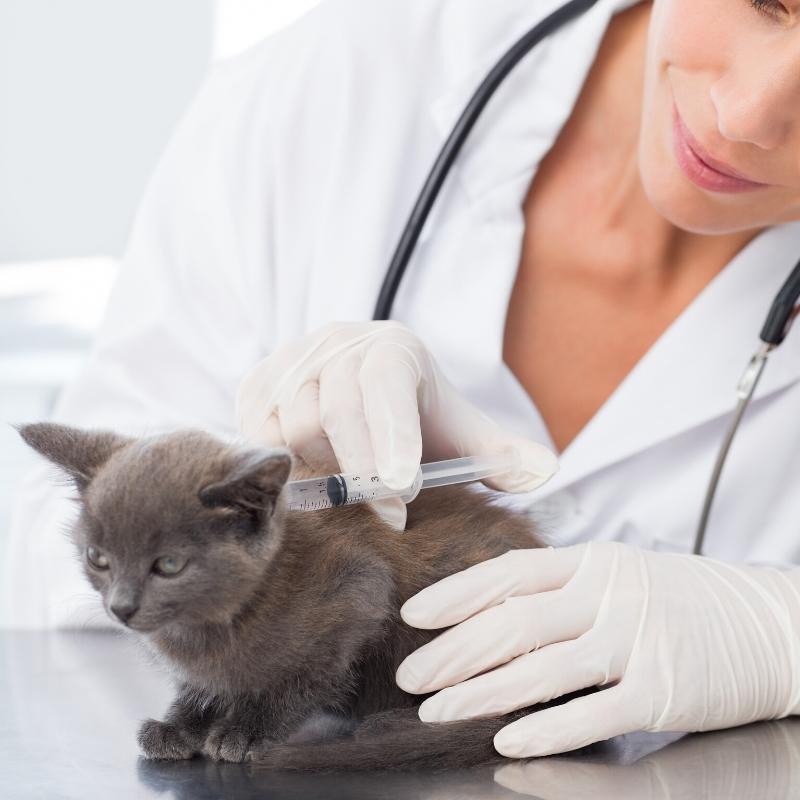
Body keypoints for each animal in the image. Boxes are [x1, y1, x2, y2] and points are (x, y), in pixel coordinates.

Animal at [18, 422, 556, 772]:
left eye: (168, 565)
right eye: (98, 557)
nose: (121, 607)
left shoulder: (358, 593)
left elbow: (307, 679)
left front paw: (246, 731)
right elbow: (203, 683)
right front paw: (181, 726)